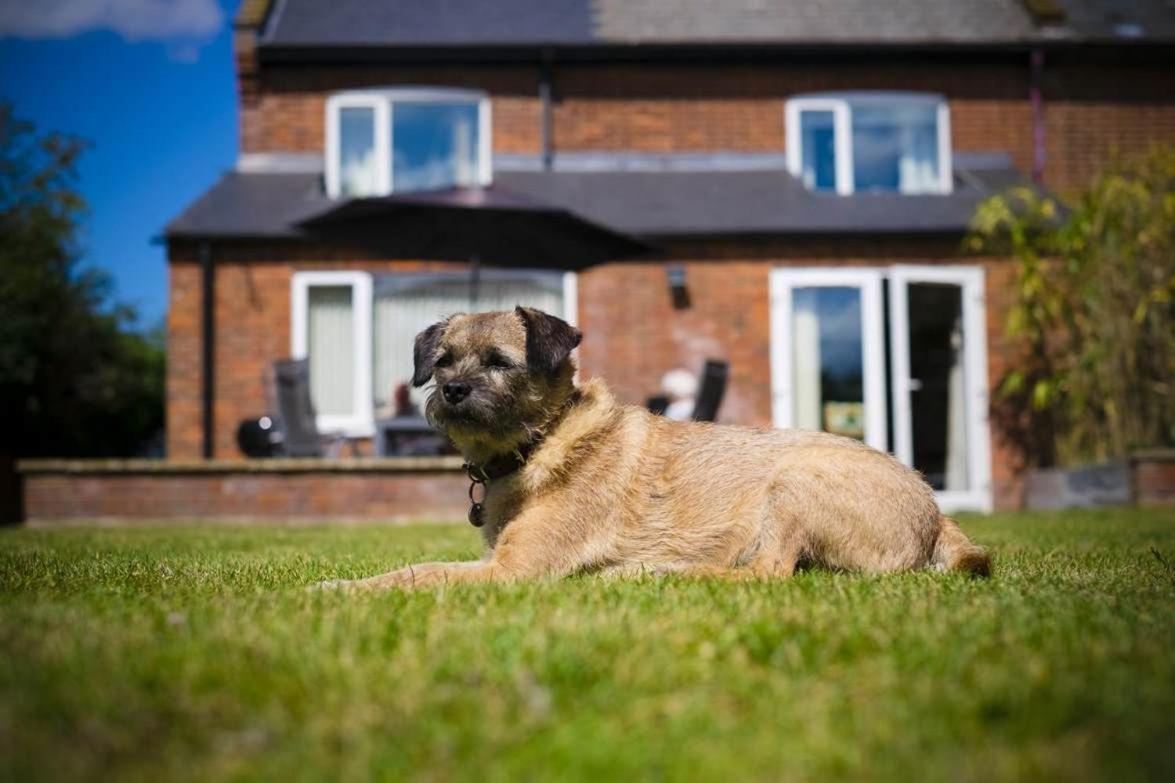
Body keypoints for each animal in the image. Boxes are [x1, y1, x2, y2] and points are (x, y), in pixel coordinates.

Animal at [333, 305, 991, 585]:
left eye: (499, 362)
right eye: (442, 361)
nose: (452, 389)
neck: (544, 440)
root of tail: (936, 513)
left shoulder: (511, 571)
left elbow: (413, 575)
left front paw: (337, 593)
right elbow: (416, 568)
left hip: (796, 480)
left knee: (771, 574)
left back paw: (662, 574)